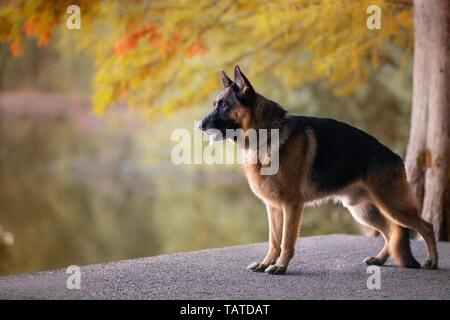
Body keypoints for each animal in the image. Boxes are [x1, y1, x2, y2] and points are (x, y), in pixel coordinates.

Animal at [199, 65, 438, 276]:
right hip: (364, 211)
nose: (199, 126)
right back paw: (379, 259)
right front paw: (266, 263)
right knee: (391, 232)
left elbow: (286, 241)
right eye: (215, 104)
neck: (265, 135)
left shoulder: (291, 205)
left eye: (223, 105)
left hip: (393, 206)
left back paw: (432, 261)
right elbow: (274, 240)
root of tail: (395, 156)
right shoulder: (274, 208)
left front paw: (280, 266)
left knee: (425, 226)